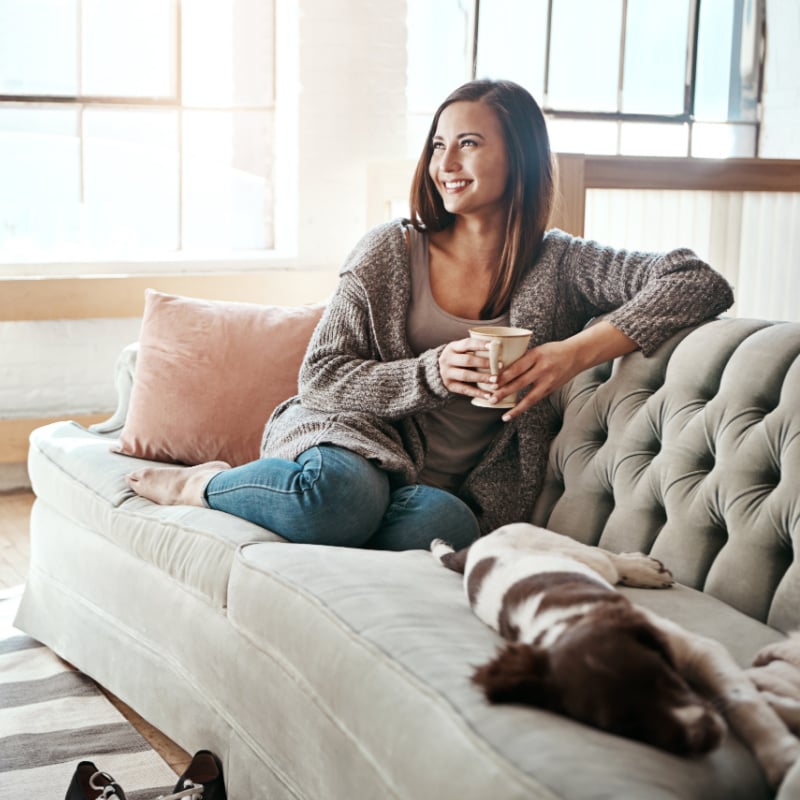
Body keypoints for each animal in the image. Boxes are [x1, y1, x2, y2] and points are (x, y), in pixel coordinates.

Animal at [432, 520, 800, 792]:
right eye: (624, 726)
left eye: (666, 679)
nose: (704, 736)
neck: (567, 622)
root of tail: (485, 540)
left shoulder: (698, 649)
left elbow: (745, 702)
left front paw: (781, 757)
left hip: (574, 551)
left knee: (607, 557)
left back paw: (644, 568)